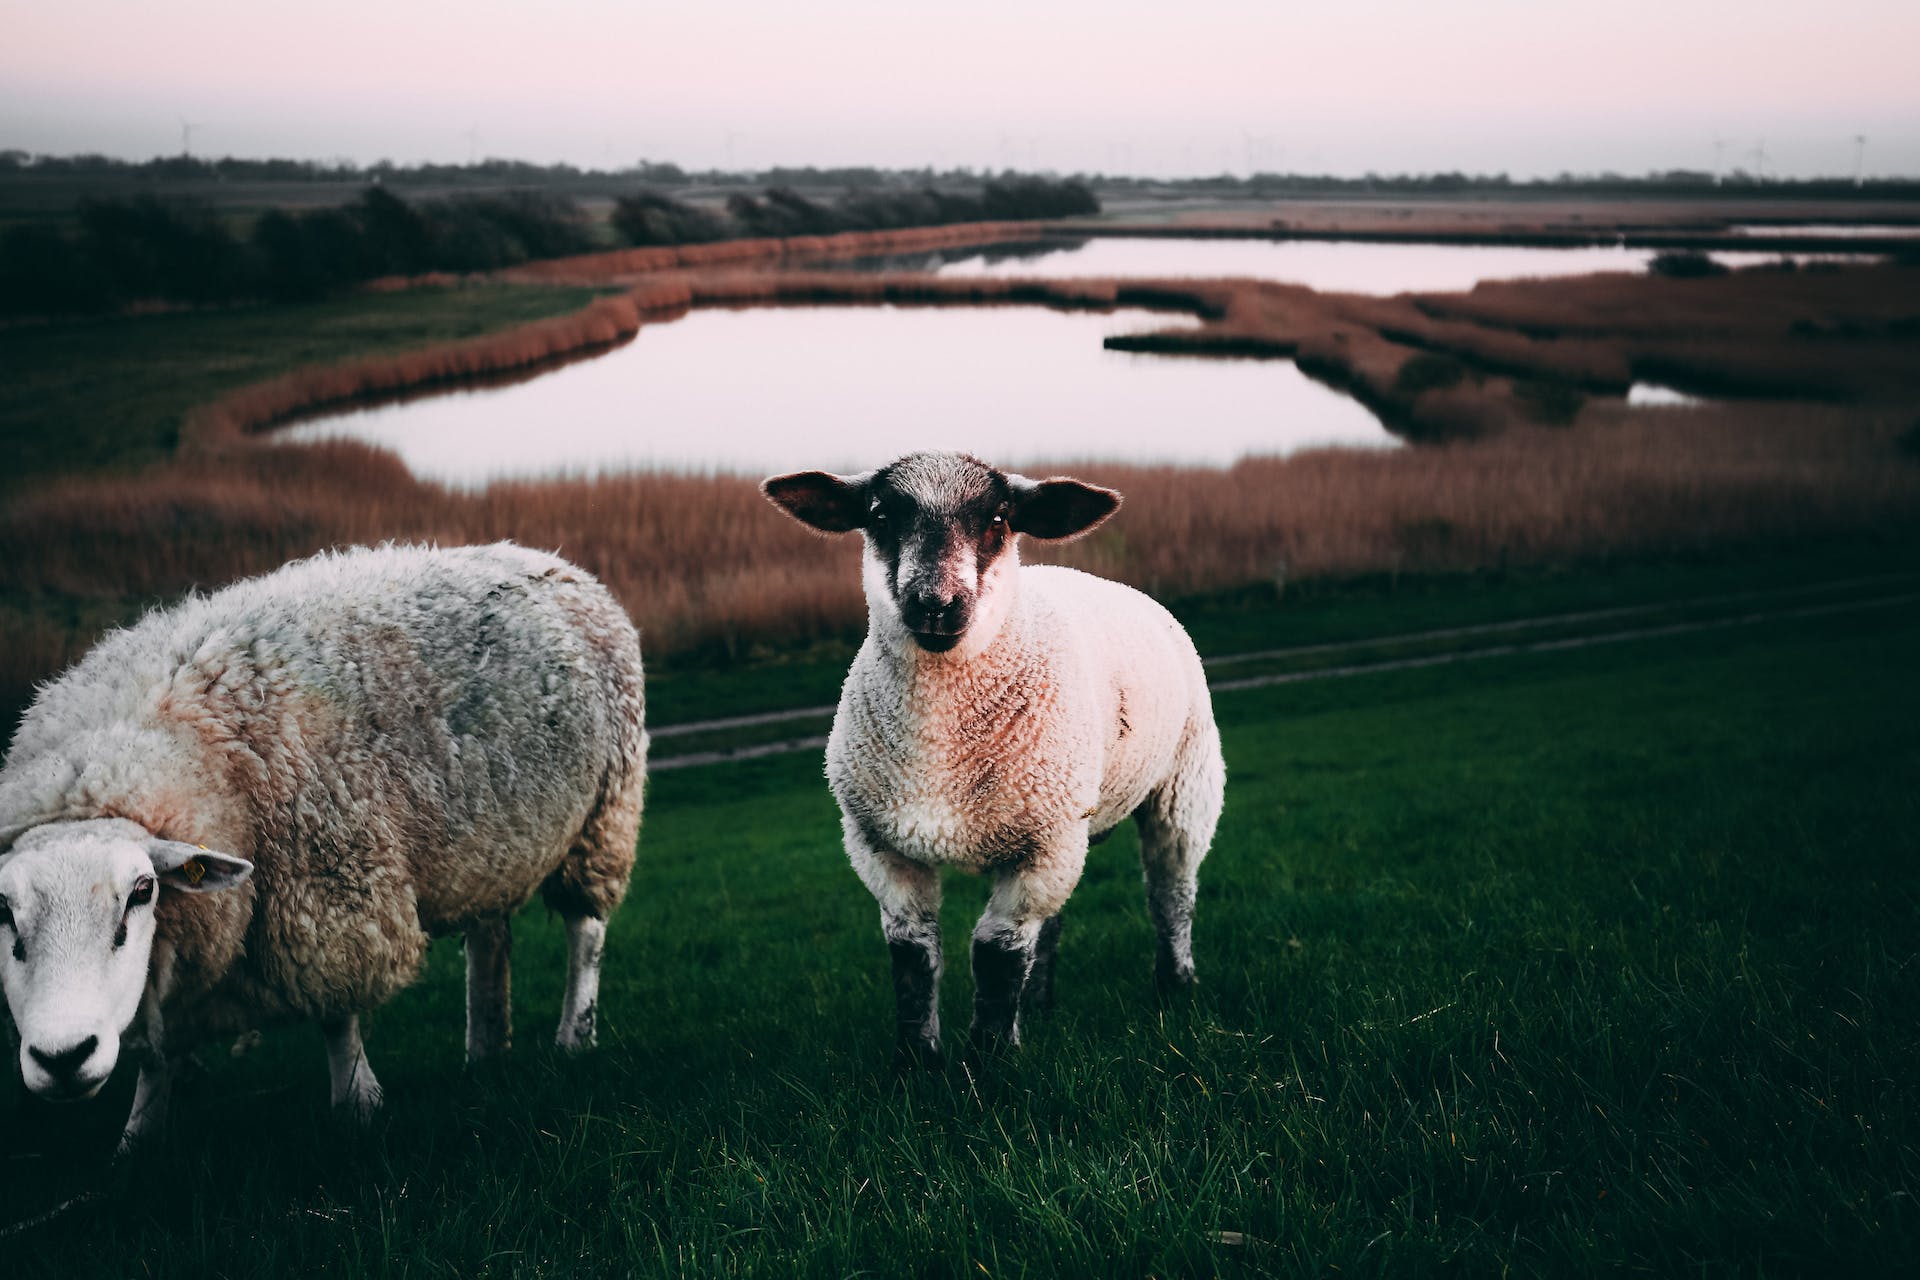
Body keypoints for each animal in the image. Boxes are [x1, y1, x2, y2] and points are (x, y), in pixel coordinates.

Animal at [0, 541, 645, 1151]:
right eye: (4, 914)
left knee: (585, 933)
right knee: (490, 940)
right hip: (494, 845)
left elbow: (338, 1018)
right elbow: (160, 1055)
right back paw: (485, 1051)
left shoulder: (331, 893)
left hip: (604, 815)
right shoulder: (185, 956)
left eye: (141, 892)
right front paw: (139, 1136)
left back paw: (574, 1037)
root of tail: (550, 560)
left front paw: (357, 1103)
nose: (63, 1057)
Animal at [760, 454, 1221, 1066]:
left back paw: (1175, 985)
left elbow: (996, 953)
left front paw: (990, 1061)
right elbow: (913, 954)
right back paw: (1042, 1004)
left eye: (999, 518)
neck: (937, 748)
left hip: (1183, 784)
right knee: (1054, 923)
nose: (934, 604)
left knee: (1171, 890)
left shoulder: (1041, 846)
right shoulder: (879, 846)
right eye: (880, 515)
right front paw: (917, 1063)